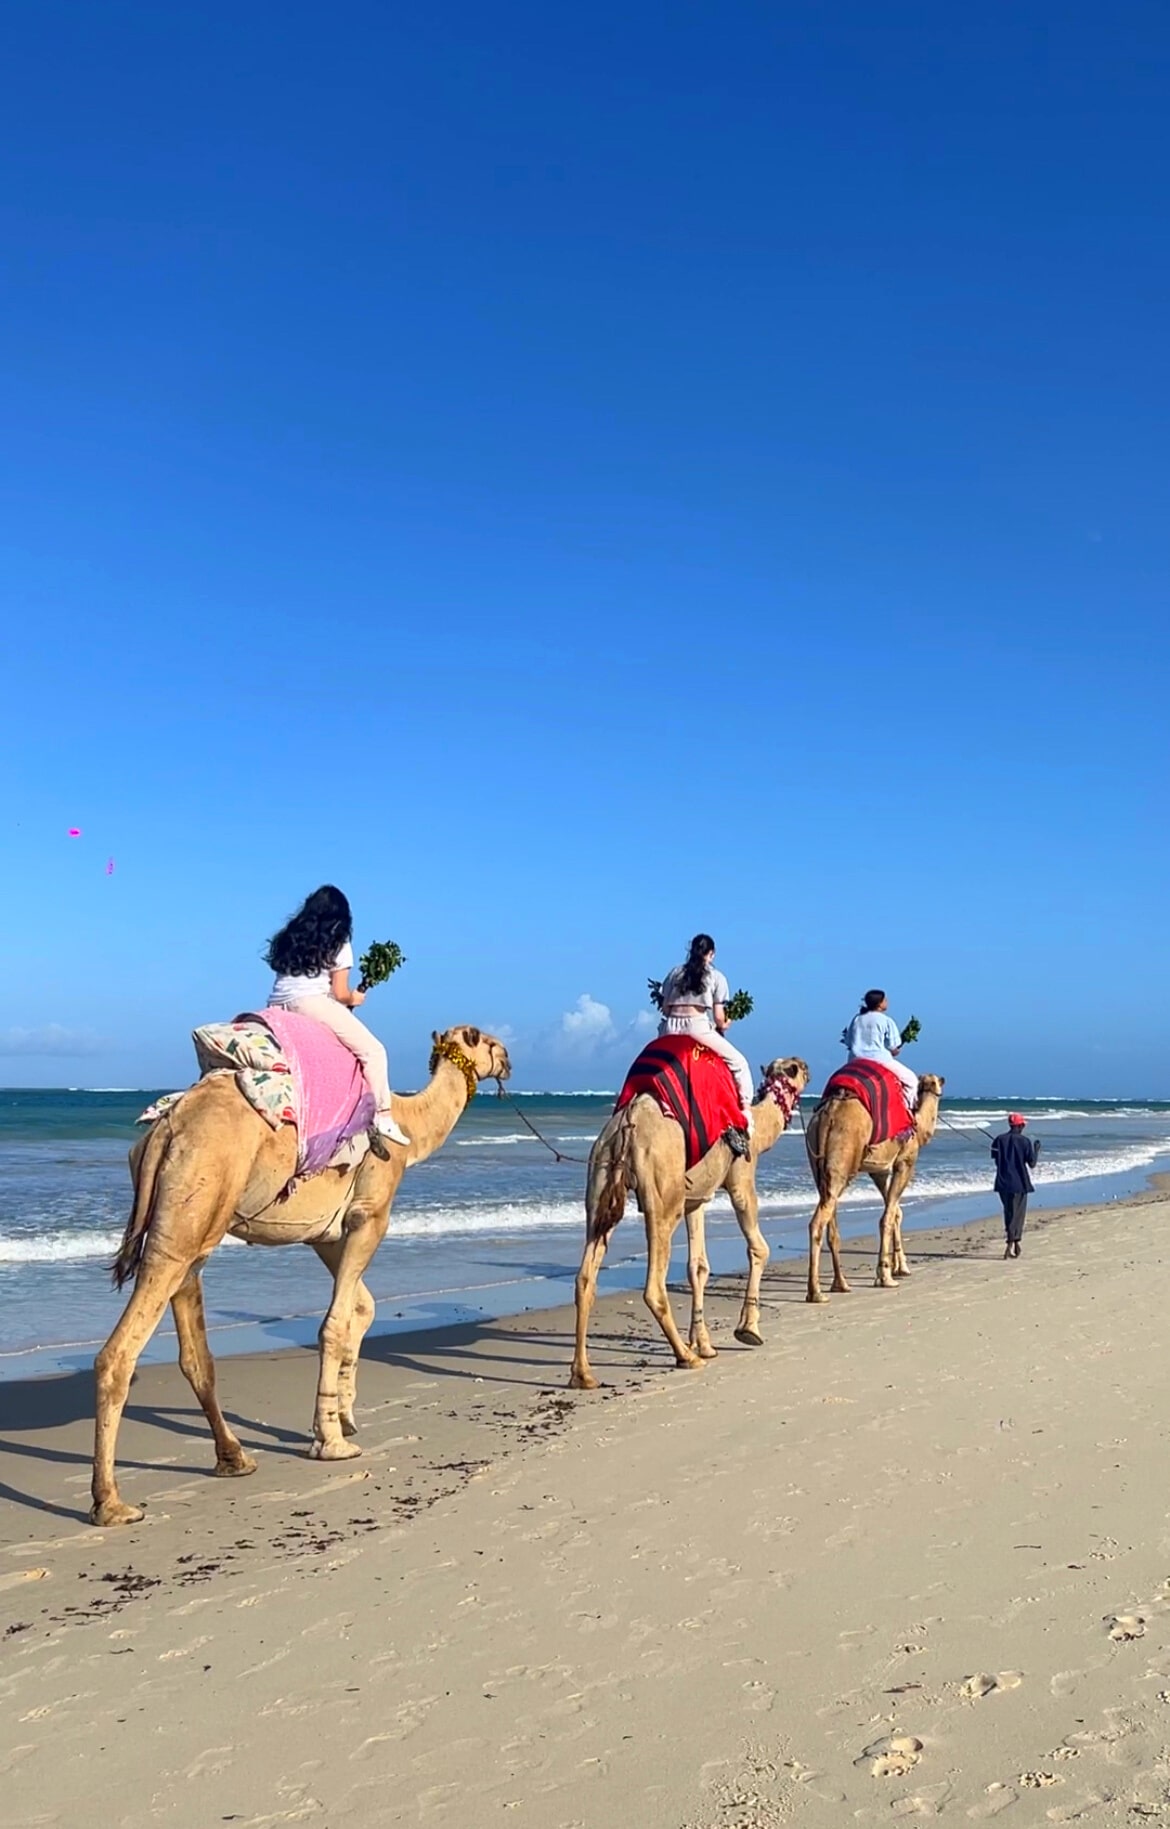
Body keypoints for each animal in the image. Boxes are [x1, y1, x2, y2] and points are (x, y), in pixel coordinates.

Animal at [89, 1031, 508, 1529]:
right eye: (489, 1042)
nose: (508, 1060)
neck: (410, 1127)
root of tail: (166, 1130)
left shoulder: (325, 1232)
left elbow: (361, 1308)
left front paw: (344, 1416)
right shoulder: (369, 1215)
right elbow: (334, 1322)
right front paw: (332, 1440)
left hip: (191, 1218)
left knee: (194, 1348)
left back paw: (234, 1458)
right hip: (190, 1207)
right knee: (120, 1352)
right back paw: (111, 1502)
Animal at [570, 1060, 808, 1382]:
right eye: (795, 1066)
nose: (807, 1067)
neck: (758, 1132)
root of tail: (628, 1122)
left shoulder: (696, 1199)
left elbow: (698, 1266)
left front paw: (704, 1344)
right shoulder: (740, 1180)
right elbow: (759, 1248)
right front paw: (748, 1329)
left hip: (599, 1178)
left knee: (585, 1276)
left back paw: (583, 1374)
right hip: (662, 1193)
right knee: (654, 1284)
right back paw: (685, 1357)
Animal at [800, 1068, 943, 1309]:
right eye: (934, 1080)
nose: (941, 1079)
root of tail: (829, 1112)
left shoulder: (879, 1170)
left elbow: (895, 1211)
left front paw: (900, 1267)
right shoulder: (905, 1162)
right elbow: (888, 1216)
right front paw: (886, 1276)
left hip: (818, 1161)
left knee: (830, 1217)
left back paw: (840, 1284)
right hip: (844, 1156)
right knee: (818, 1222)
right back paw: (816, 1292)